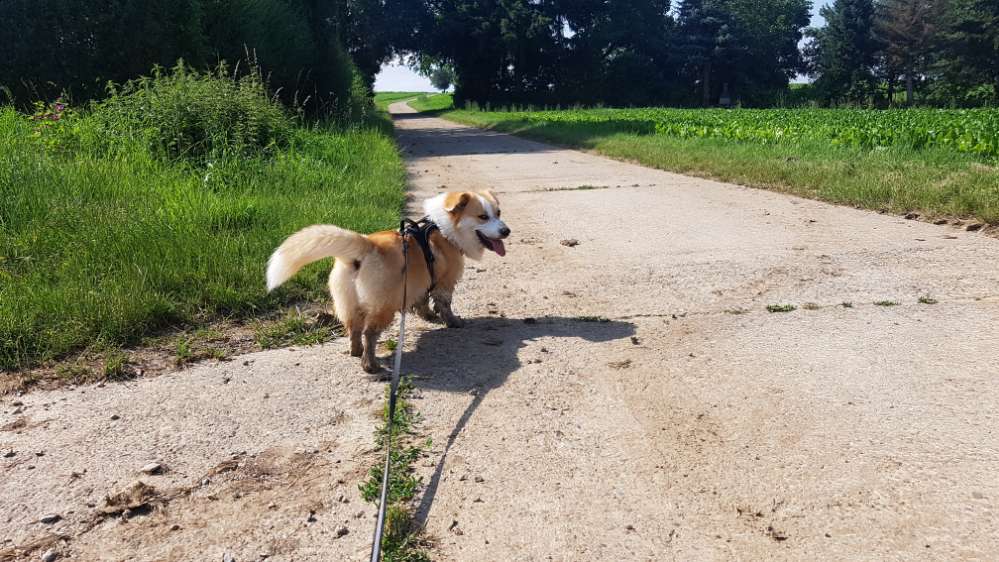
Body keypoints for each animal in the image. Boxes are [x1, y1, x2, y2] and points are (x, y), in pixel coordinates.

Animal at [266, 189, 512, 372]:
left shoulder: (420, 283)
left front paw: (429, 316)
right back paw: (371, 365)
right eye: (483, 216)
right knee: (369, 334)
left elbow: (423, 302)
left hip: (349, 302)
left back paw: (356, 352)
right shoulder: (444, 282)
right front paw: (453, 322)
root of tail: (365, 247)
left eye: (499, 212)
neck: (443, 229)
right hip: (384, 306)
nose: (506, 231)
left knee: (354, 329)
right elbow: (444, 305)